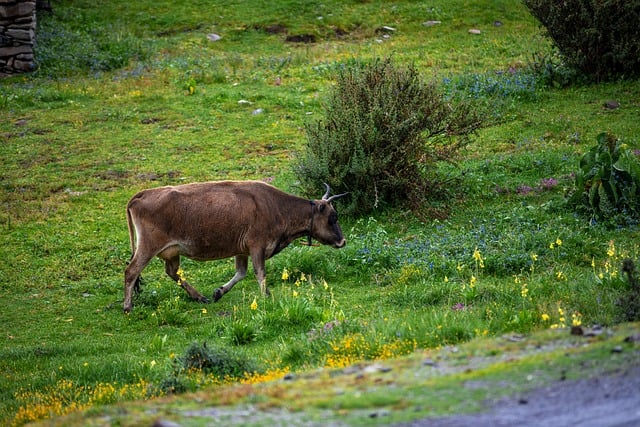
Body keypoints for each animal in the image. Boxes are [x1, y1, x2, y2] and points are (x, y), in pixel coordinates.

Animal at [124, 179, 344, 312]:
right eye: (332, 217)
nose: (343, 241)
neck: (275, 207)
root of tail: (142, 194)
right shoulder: (257, 246)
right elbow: (260, 272)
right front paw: (266, 296)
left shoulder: (242, 250)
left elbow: (241, 273)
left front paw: (219, 292)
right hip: (148, 247)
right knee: (131, 271)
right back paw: (127, 307)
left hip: (172, 252)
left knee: (172, 272)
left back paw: (199, 297)